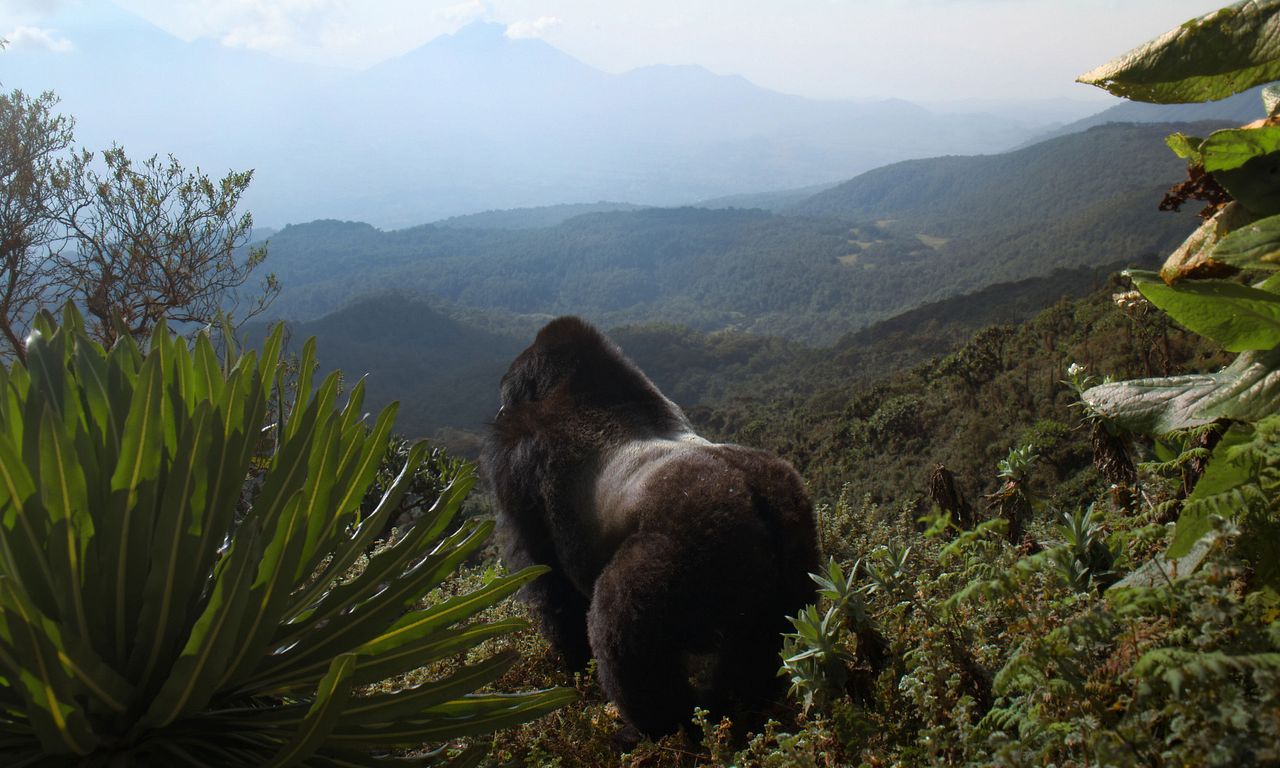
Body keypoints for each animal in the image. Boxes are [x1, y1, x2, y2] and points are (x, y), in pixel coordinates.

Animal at [483, 316, 819, 737]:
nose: (497, 411)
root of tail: (753, 492)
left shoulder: (517, 457)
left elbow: (550, 584)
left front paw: (573, 667)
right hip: (796, 532)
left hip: (692, 542)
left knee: (617, 620)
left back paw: (652, 727)